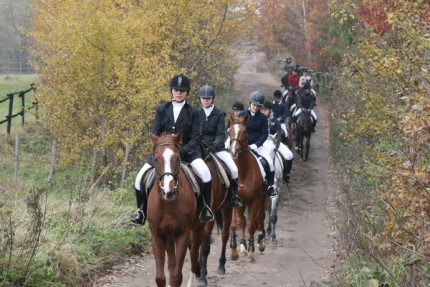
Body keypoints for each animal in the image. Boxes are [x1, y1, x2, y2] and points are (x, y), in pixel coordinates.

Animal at [146, 132, 205, 286]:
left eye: (178, 158)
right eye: (156, 159)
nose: (169, 191)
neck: (168, 205)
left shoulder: (183, 234)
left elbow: (176, 277)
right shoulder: (158, 235)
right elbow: (161, 277)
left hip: (198, 227)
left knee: (194, 255)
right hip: (169, 236)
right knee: (172, 262)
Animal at [227, 112, 268, 264]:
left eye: (244, 131)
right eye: (230, 131)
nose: (233, 151)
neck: (243, 172)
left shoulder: (254, 201)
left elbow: (251, 225)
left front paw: (251, 252)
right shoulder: (235, 201)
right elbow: (235, 224)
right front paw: (234, 250)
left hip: (262, 199)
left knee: (259, 218)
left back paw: (260, 243)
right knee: (243, 221)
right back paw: (242, 245)